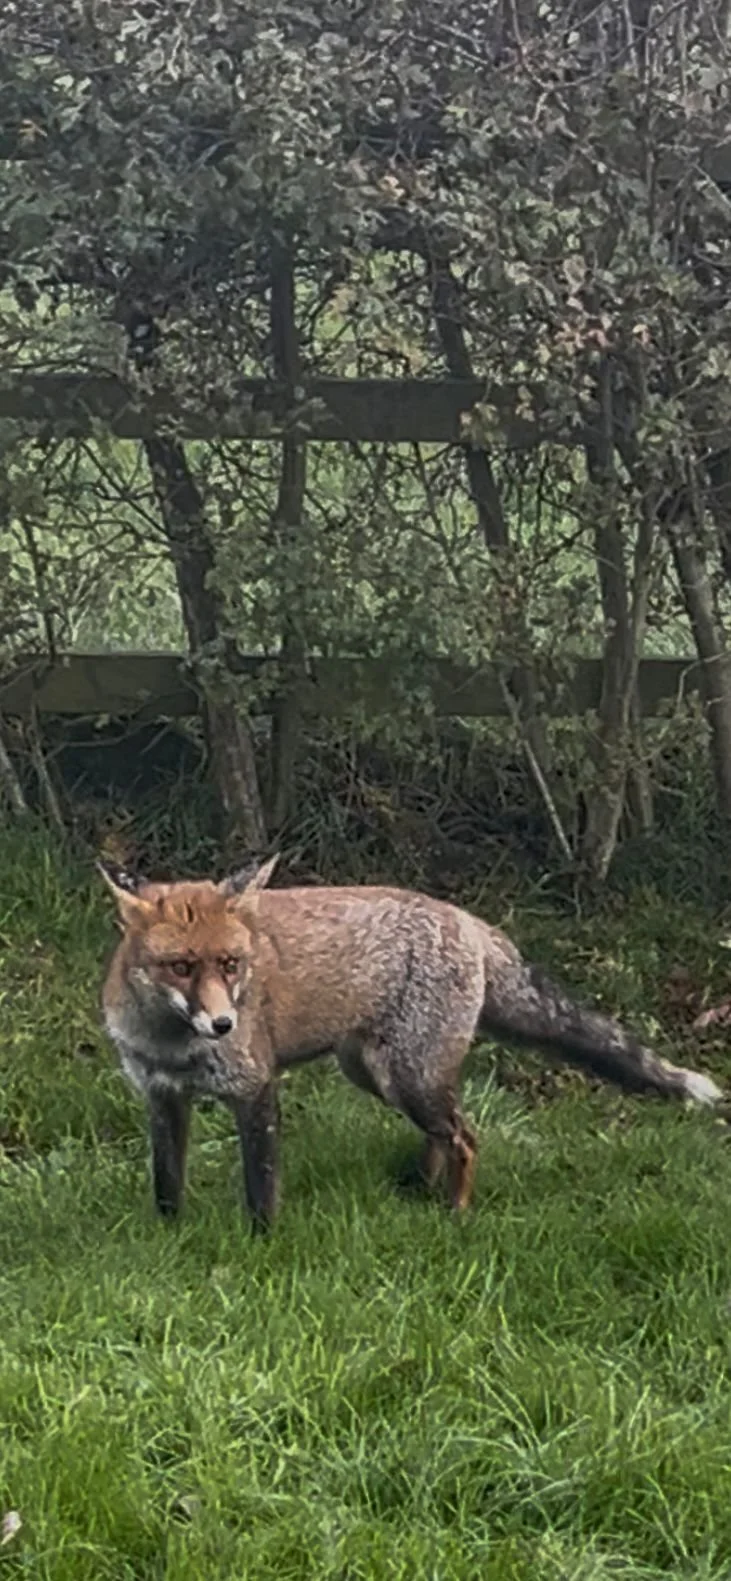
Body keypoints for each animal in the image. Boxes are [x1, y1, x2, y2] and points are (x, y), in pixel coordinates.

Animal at [99, 856, 725, 1232]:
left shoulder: (254, 1087)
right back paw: (419, 1191)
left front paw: (261, 1245)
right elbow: (166, 1182)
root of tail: (466, 918)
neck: (172, 1044)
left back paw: (455, 1214)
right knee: (441, 1135)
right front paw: (170, 1237)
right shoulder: (162, 1096)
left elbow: (262, 1186)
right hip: (377, 1072)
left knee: (465, 1136)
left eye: (230, 964)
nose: (225, 1024)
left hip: (408, 1075)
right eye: (181, 966)